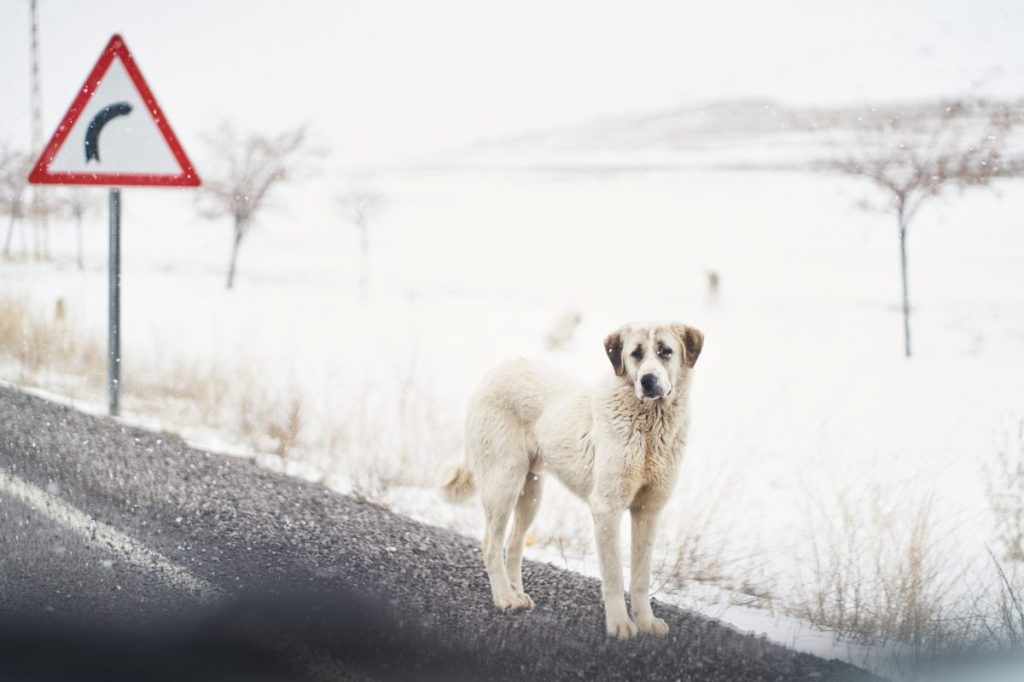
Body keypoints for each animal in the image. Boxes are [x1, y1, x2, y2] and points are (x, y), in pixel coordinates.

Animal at [440, 321, 704, 634]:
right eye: (636, 354)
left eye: (665, 351)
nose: (648, 381)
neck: (649, 424)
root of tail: (493, 372)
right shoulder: (606, 508)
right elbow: (614, 575)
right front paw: (620, 625)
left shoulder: (647, 511)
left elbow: (641, 577)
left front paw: (646, 622)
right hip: (504, 483)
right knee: (491, 544)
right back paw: (505, 598)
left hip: (531, 492)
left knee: (513, 544)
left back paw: (517, 593)